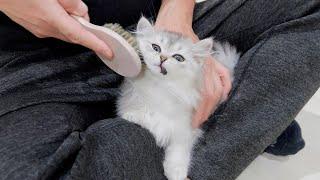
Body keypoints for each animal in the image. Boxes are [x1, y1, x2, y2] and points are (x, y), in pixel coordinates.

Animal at [116, 16, 239, 180]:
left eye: (178, 58)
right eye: (156, 48)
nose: (162, 58)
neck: (161, 86)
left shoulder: (187, 126)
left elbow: (179, 148)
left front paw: (176, 171)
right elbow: (147, 116)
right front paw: (134, 116)